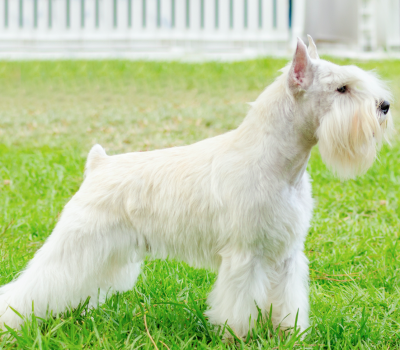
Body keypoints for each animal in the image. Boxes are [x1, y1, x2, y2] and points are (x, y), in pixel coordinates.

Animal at [0, 35, 394, 336]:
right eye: (341, 88)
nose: (385, 105)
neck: (279, 163)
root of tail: (99, 164)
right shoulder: (245, 256)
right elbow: (239, 304)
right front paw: (237, 337)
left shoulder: (286, 254)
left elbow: (286, 301)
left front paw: (289, 334)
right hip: (75, 243)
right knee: (34, 285)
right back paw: (13, 322)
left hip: (106, 253)